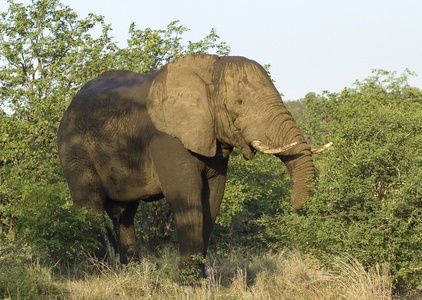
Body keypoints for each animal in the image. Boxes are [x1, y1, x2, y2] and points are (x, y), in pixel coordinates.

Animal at [56, 54, 330, 276]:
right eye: (239, 103)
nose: (297, 206)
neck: (208, 72)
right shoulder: (166, 137)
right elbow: (185, 192)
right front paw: (184, 281)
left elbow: (213, 196)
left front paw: (199, 278)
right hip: (74, 149)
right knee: (89, 205)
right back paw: (100, 273)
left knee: (124, 213)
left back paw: (130, 273)